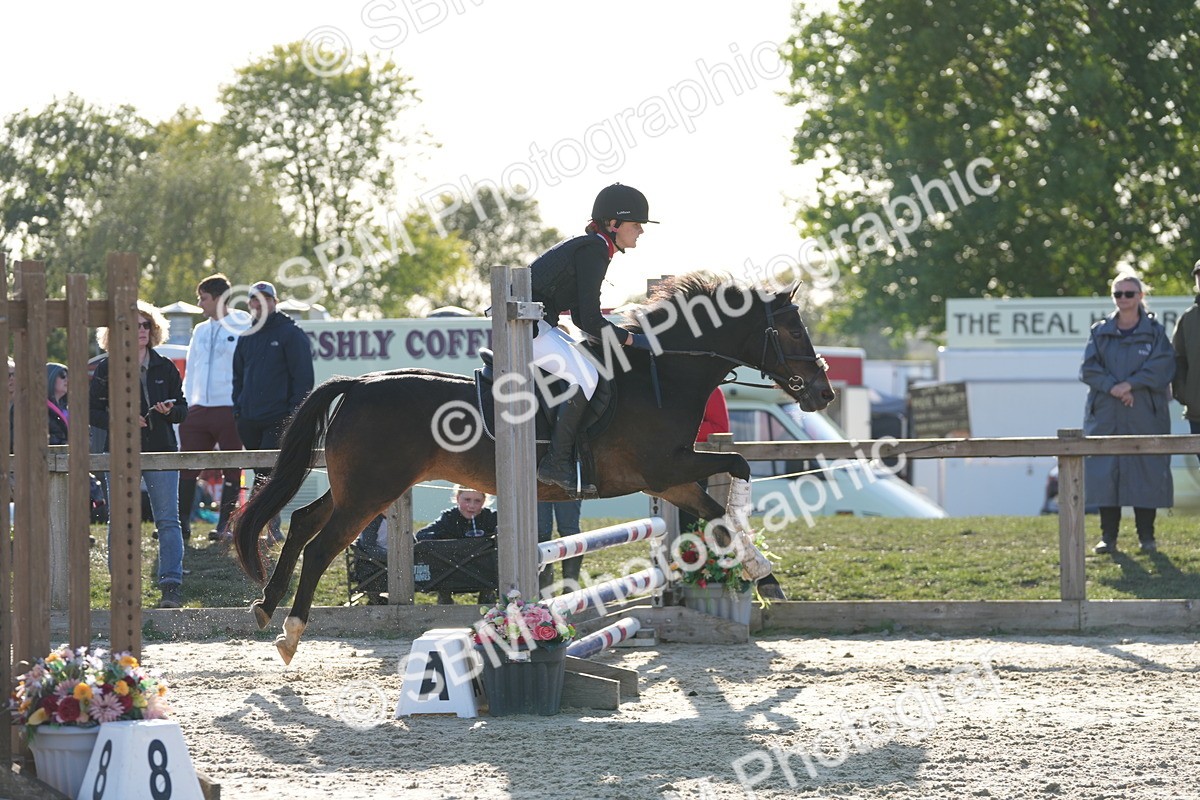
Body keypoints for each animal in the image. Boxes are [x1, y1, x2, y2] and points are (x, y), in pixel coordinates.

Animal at [232, 275, 835, 663]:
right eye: (793, 332)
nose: (824, 393)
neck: (661, 376)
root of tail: (360, 384)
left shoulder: (675, 480)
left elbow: (719, 515)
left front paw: (763, 574)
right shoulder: (665, 469)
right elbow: (739, 468)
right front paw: (760, 569)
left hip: (357, 487)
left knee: (302, 522)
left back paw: (266, 607)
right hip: (370, 493)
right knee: (319, 546)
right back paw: (289, 632)